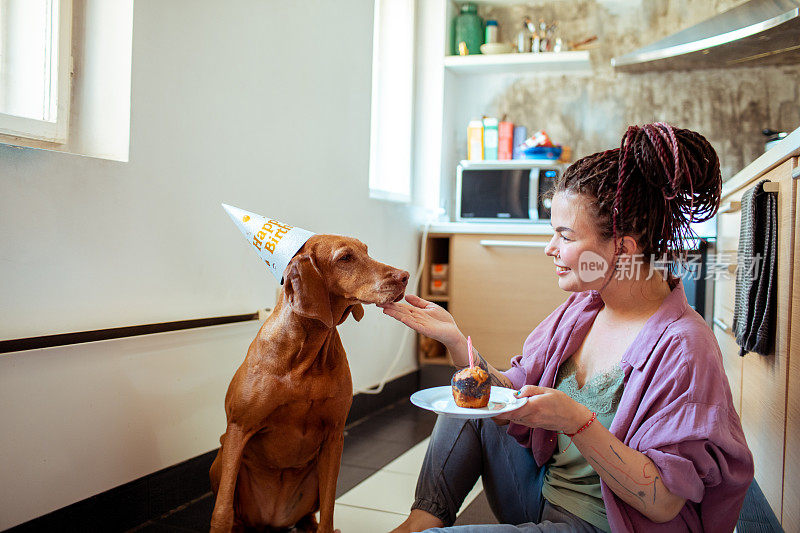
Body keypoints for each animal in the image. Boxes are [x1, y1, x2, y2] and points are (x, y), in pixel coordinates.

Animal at [209, 235, 410, 528]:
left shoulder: (334, 437)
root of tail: (273, 520)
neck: (306, 355)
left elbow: (328, 510)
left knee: (311, 516)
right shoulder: (239, 428)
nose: (405, 276)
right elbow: (223, 510)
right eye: (345, 258)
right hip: (221, 458)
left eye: (367, 251)